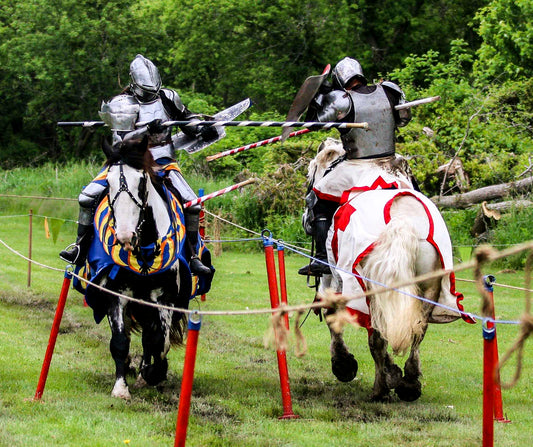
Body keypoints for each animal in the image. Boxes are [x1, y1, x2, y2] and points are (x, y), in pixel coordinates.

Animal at [308, 139, 470, 402]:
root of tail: (402, 221)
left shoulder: (332, 278)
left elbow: (331, 314)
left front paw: (343, 365)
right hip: (429, 285)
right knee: (417, 331)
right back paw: (409, 384)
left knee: (377, 337)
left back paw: (381, 387)